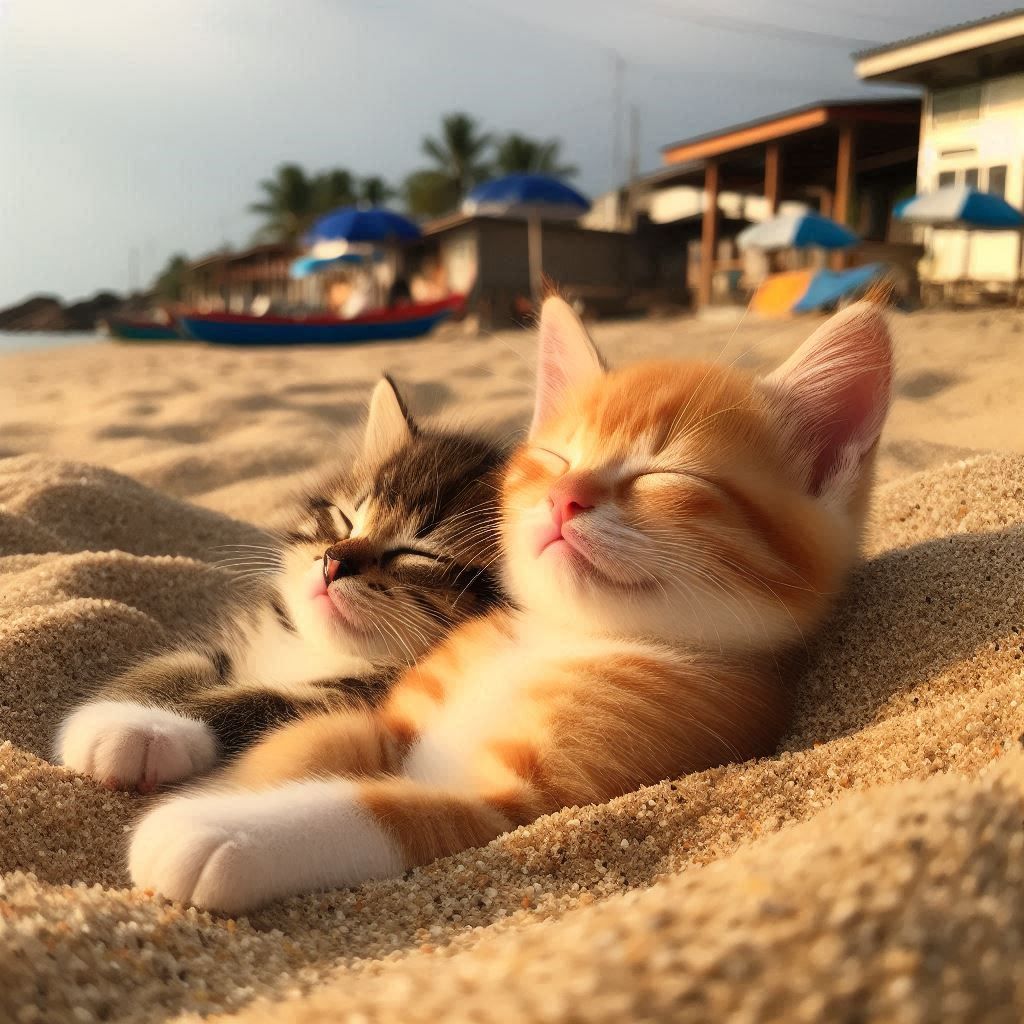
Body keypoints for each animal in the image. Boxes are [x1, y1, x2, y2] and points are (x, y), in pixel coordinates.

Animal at [54, 378, 509, 790]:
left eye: (417, 554)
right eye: (345, 519)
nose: (333, 561)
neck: (317, 652)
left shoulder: (365, 698)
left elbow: (263, 702)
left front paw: (143, 730)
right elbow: (173, 664)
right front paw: (113, 711)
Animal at [128, 296, 892, 913]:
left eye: (666, 476)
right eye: (553, 459)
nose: (563, 498)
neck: (560, 636)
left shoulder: (517, 802)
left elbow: (370, 806)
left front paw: (212, 829)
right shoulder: (389, 715)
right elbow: (292, 741)